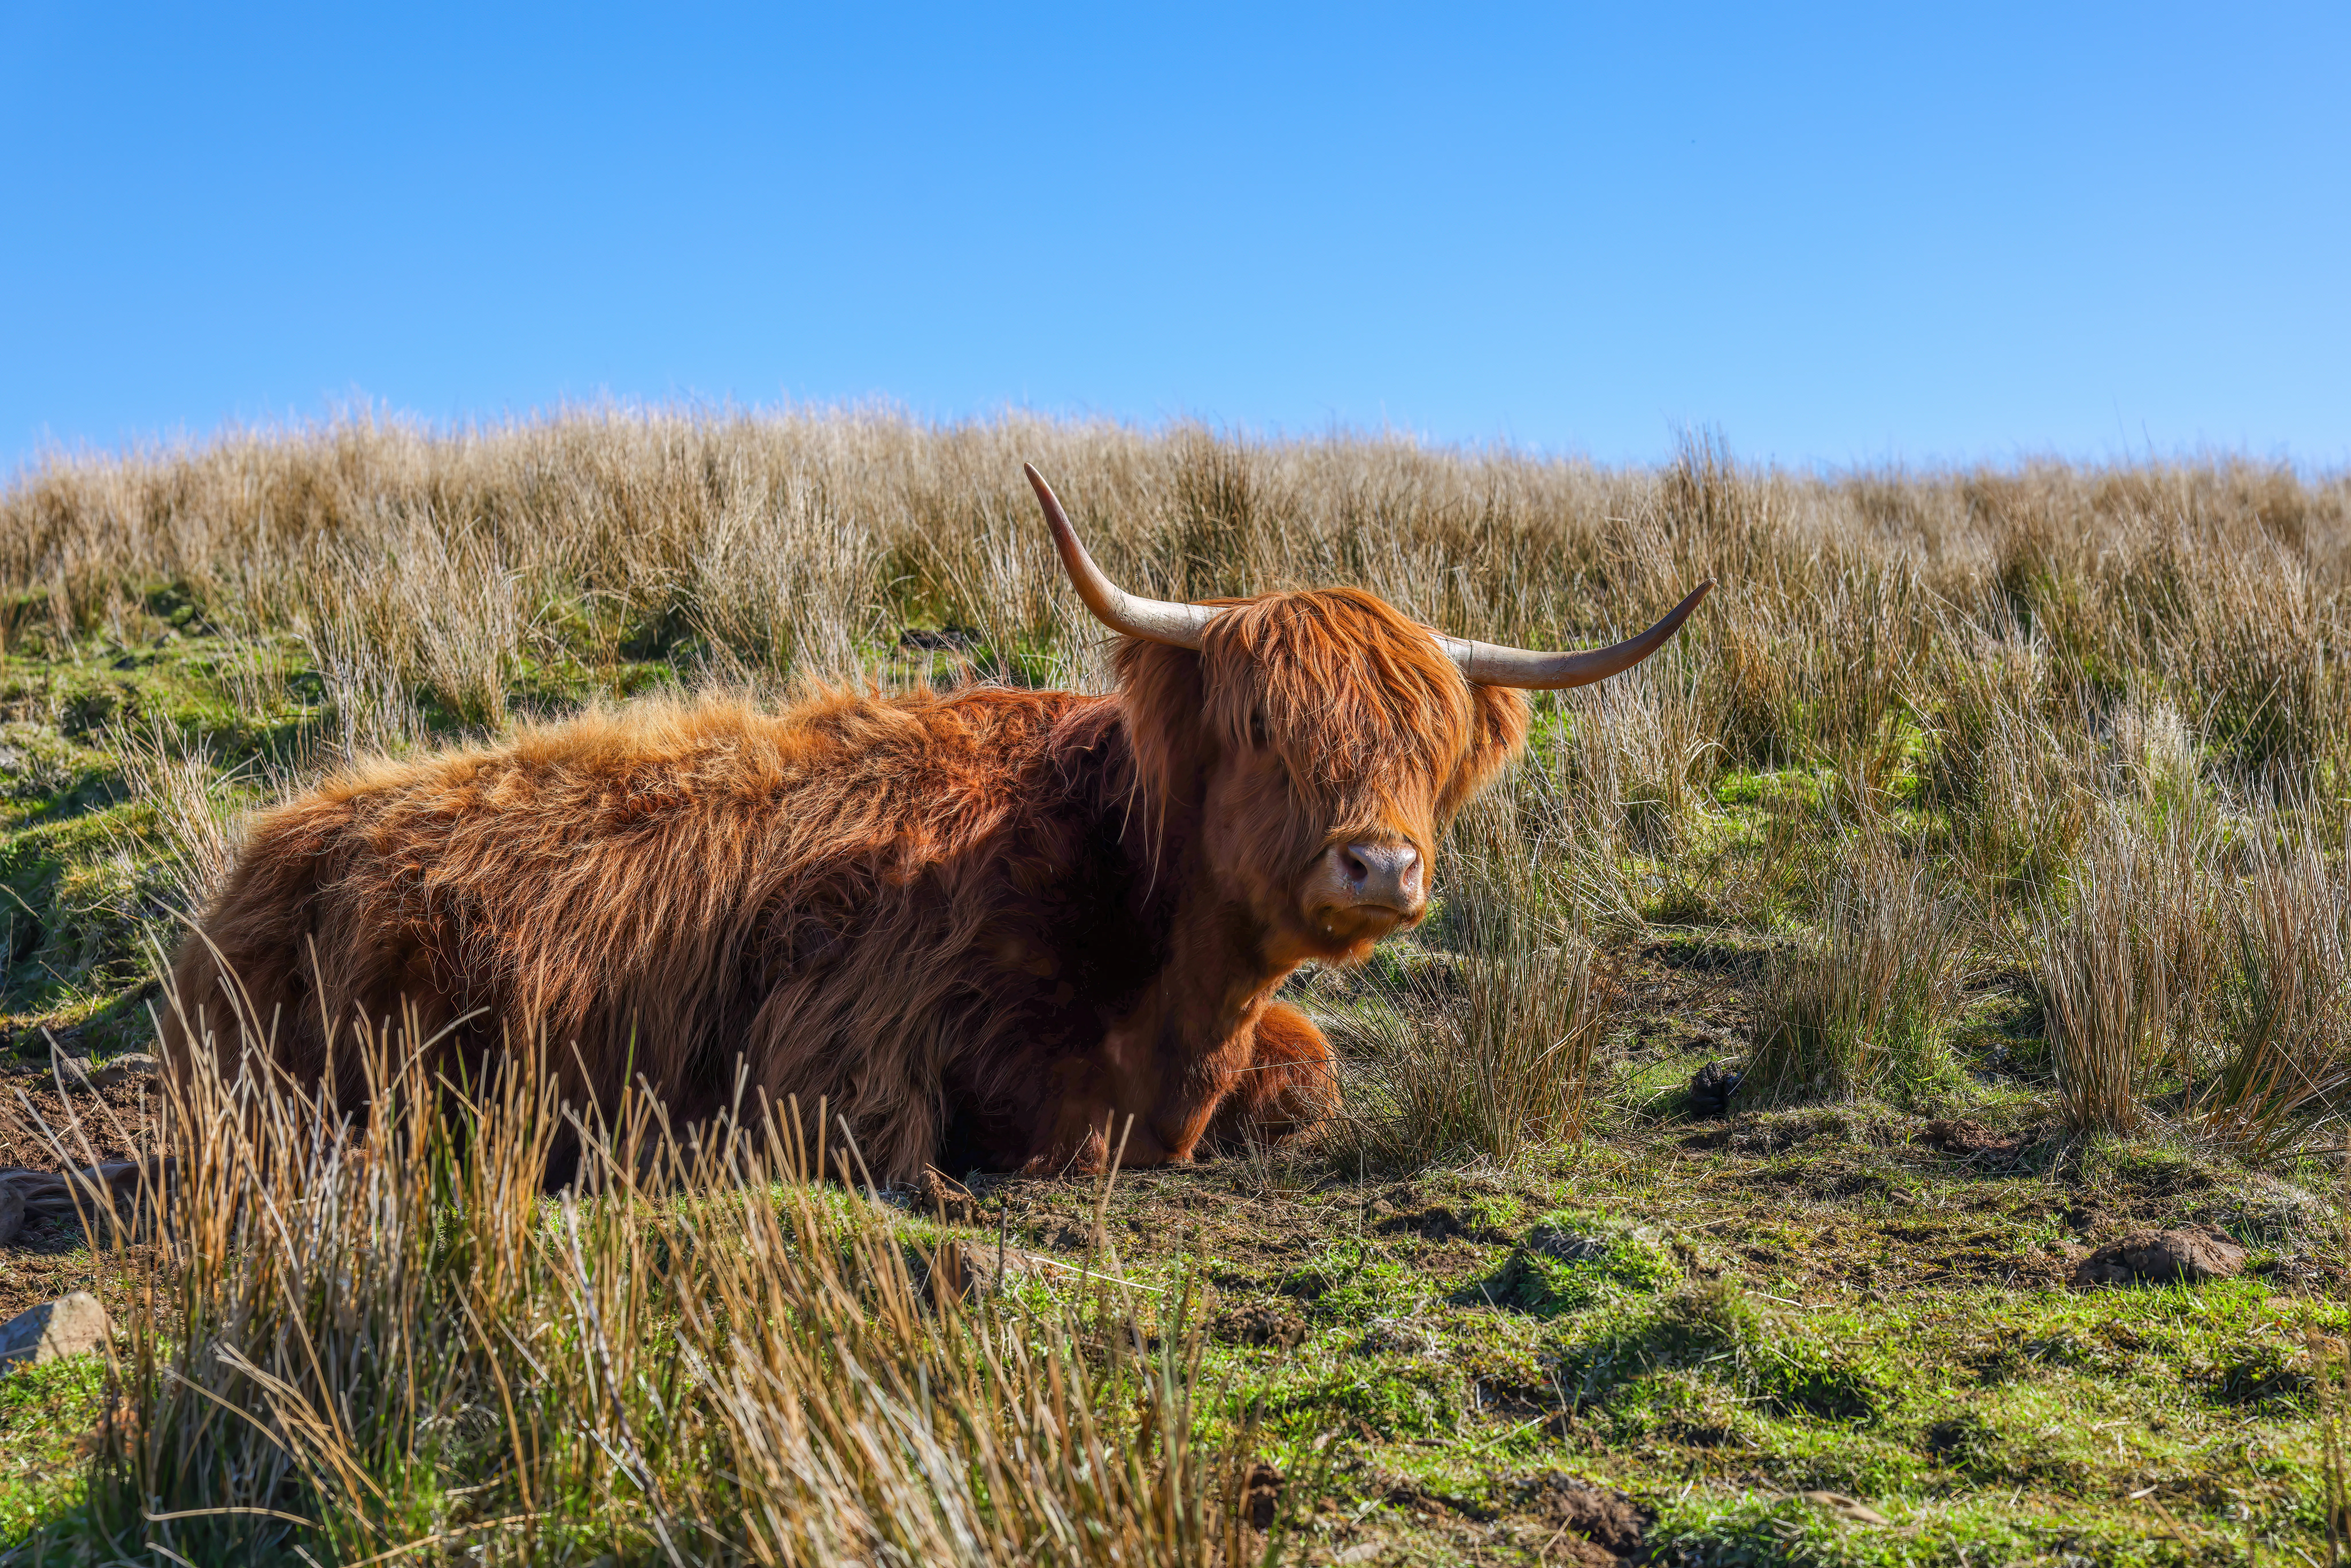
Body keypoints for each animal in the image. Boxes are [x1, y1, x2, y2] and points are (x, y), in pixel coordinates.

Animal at [162, 466, 1708, 1181]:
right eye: (1269, 730)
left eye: (1429, 751)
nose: (1378, 865)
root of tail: (271, 844)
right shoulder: (840, 1043)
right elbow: (1002, 1130)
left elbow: (1309, 1070)